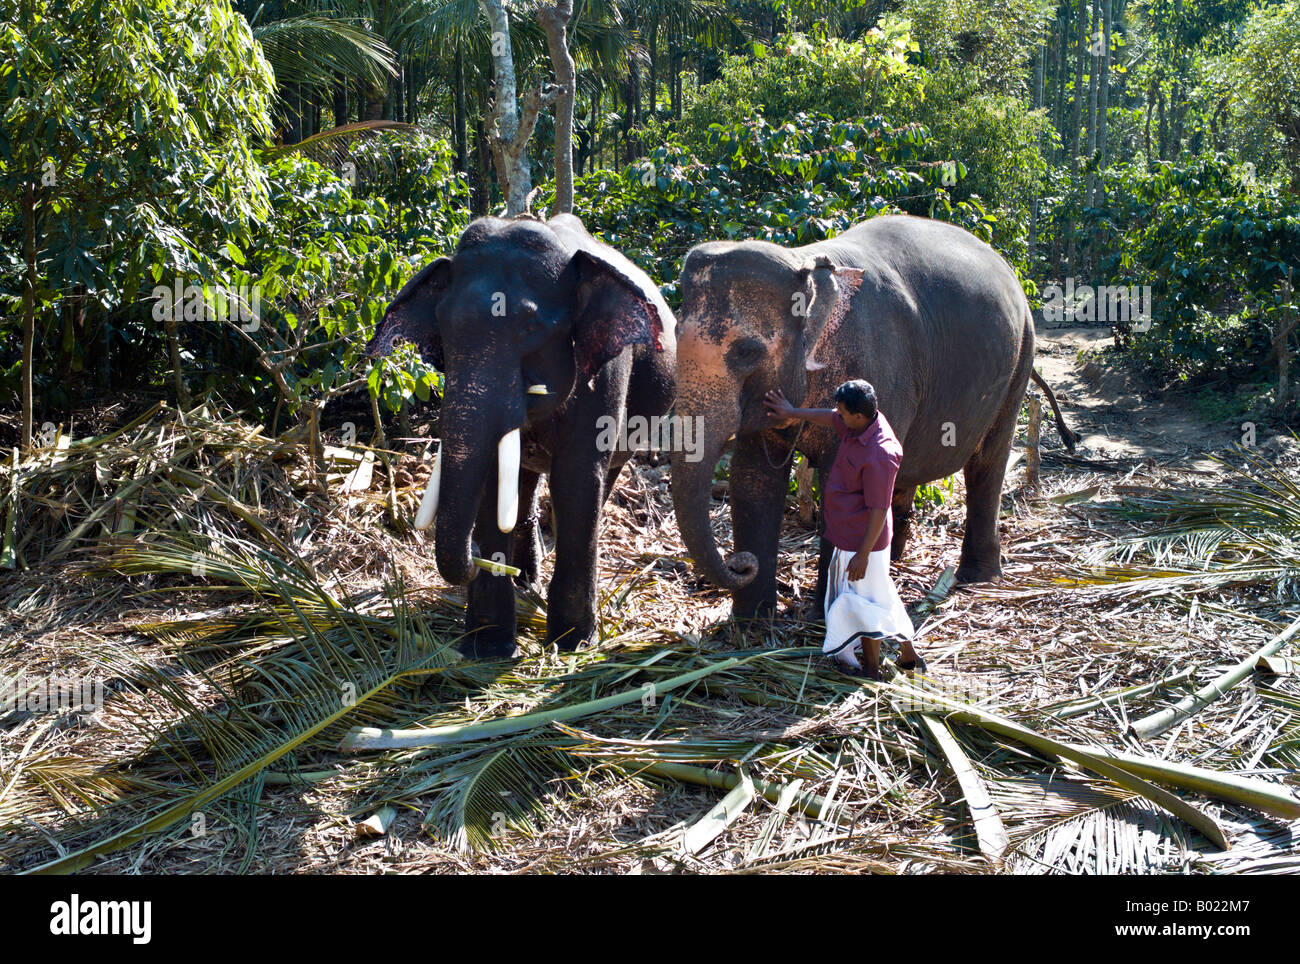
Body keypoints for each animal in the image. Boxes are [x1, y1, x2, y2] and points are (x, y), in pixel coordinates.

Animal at [366, 213, 676, 659]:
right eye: (443, 326)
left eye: (530, 326)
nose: (476, 554)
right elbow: (493, 480)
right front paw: (488, 647)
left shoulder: (606, 373)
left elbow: (577, 480)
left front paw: (573, 644)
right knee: (524, 479)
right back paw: (525, 578)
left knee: (604, 476)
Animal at [669, 214, 1076, 619]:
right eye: (675, 333)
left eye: (747, 352)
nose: (740, 563)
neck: (806, 260)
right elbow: (752, 478)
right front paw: (750, 621)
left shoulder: (877, 367)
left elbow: (843, 482)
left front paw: (826, 614)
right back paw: (891, 563)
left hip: (1020, 359)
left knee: (987, 462)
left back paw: (978, 577)